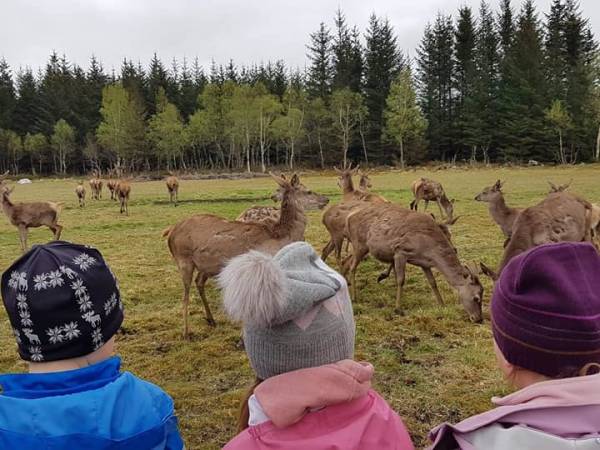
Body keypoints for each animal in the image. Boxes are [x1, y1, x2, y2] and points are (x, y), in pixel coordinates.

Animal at [162, 172, 308, 338]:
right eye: (307, 190)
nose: (323, 201)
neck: (280, 237)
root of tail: (170, 231)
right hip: (183, 260)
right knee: (185, 296)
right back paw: (186, 332)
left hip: (206, 266)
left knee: (198, 282)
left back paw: (211, 320)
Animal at [342, 204, 482, 324]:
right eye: (476, 298)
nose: (479, 319)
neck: (429, 250)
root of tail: (349, 217)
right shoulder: (400, 251)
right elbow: (401, 280)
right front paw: (398, 309)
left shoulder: (424, 263)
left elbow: (433, 282)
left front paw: (442, 304)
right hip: (360, 243)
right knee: (353, 267)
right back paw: (354, 296)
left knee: (347, 261)